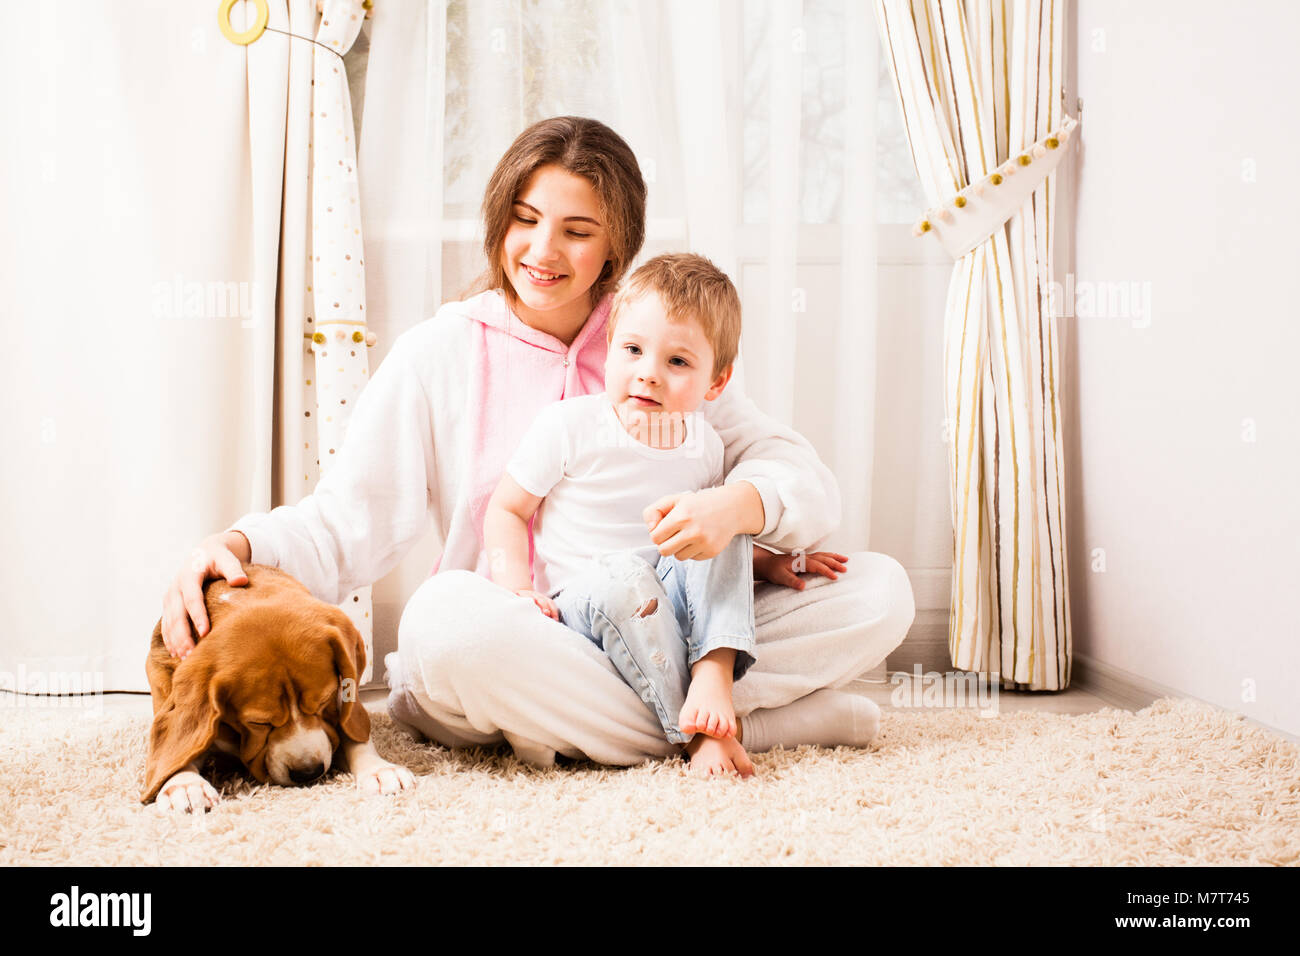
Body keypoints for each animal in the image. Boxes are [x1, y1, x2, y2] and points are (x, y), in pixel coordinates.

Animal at [144, 564, 413, 811]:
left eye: (324, 702)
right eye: (258, 723)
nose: (308, 772)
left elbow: (352, 730)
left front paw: (378, 769)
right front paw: (183, 783)